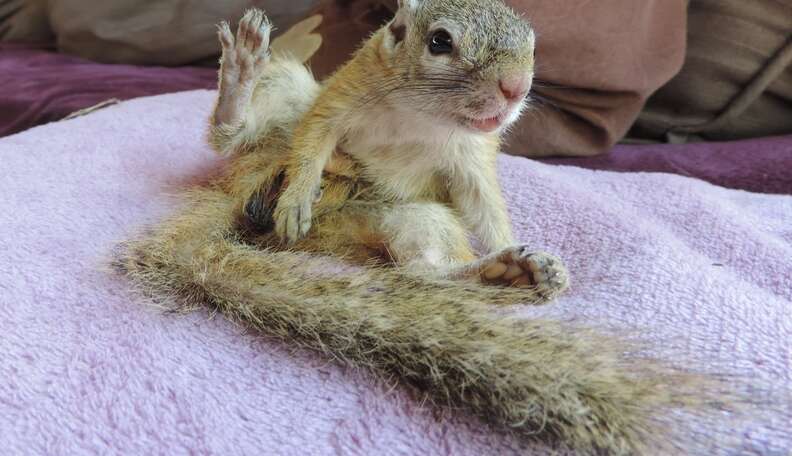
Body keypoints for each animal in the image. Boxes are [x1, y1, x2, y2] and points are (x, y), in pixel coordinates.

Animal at [207, 0, 572, 298]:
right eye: (440, 41)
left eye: (533, 49)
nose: (516, 87)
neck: (422, 117)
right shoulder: (340, 98)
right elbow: (313, 139)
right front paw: (296, 200)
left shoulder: (474, 158)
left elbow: (487, 208)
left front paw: (514, 246)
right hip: (282, 88)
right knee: (232, 136)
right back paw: (239, 81)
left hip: (420, 217)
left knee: (422, 272)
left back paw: (506, 270)